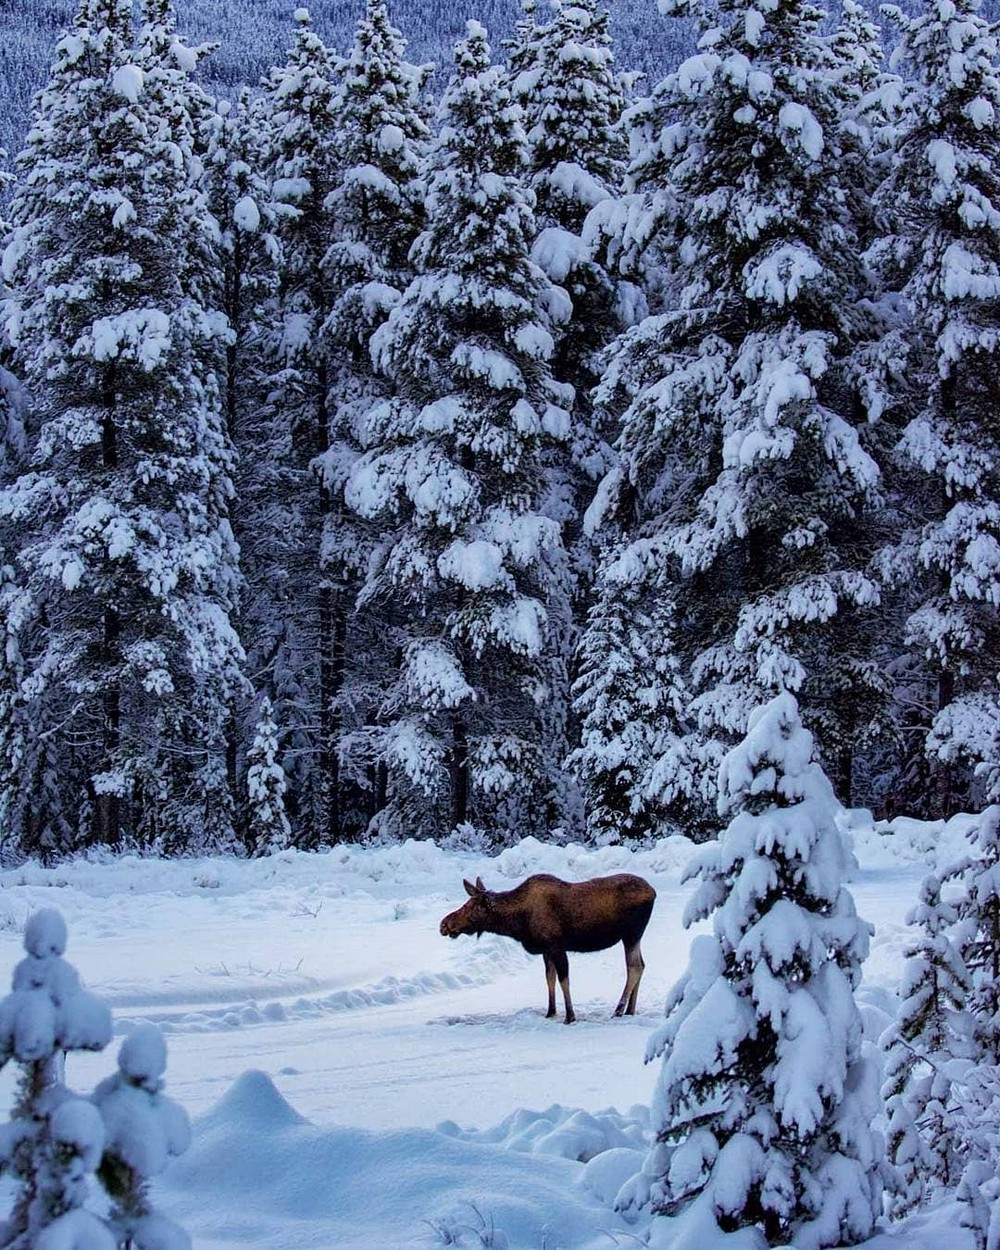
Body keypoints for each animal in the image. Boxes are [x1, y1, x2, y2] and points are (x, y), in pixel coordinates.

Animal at [440, 870, 655, 1025]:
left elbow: (563, 979)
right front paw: (550, 1012)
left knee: (634, 966)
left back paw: (618, 1010)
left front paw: (570, 1016)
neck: (517, 923)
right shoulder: (546, 950)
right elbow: (549, 978)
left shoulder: (556, 945)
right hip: (634, 936)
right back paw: (630, 1010)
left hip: (631, 933)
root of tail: (653, 892)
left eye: (468, 906)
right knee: (641, 964)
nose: (444, 924)